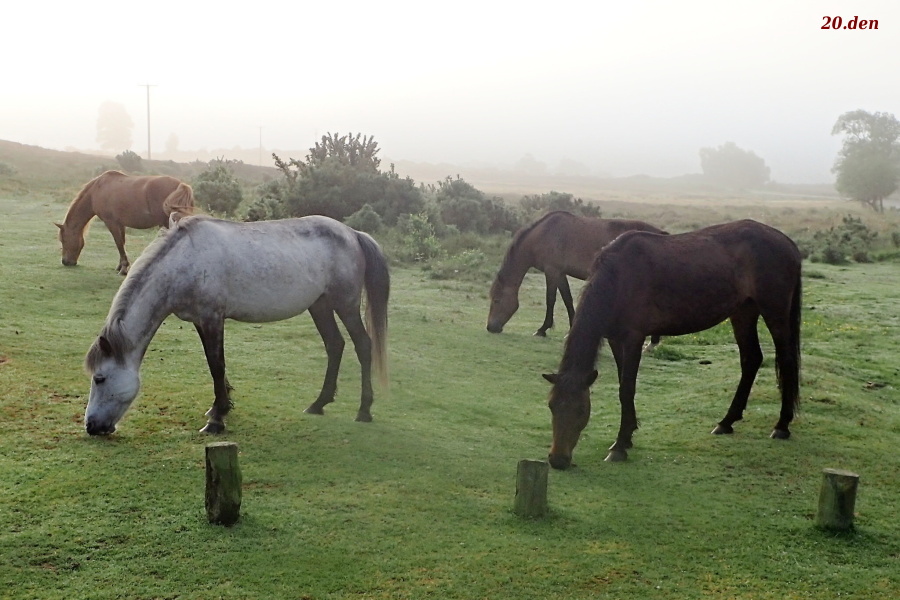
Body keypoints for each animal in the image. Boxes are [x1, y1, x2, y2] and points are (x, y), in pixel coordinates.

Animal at [55, 170, 194, 276]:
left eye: (63, 240)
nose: (65, 262)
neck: (97, 190)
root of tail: (181, 185)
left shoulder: (111, 223)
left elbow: (119, 244)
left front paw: (123, 269)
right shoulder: (120, 224)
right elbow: (122, 243)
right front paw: (121, 266)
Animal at [84, 216, 390, 436]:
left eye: (100, 378)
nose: (91, 426)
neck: (184, 261)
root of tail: (353, 233)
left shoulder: (212, 318)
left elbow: (217, 366)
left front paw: (217, 421)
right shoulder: (201, 321)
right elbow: (214, 366)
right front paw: (219, 408)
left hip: (345, 304)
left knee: (363, 345)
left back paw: (364, 411)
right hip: (321, 305)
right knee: (335, 345)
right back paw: (318, 404)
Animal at [486, 211, 668, 336]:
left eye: (496, 300)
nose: (490, 327)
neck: (543, 234)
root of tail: (662, 234)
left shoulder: (552, 271)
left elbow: (550, 299)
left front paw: (542, 329)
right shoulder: (560, 273)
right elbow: (567, 299)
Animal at [540, 220, 800, 468]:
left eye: (581, 410)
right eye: (551, 406)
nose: (558, 460)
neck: (619, 276)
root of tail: (787, 242)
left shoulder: (634, 338)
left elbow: (627, 389)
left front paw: (620, 446)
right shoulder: (615, 338)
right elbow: (623, 383)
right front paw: (629, 434)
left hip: (774, 312)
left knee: (786, 360)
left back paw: (782, 425)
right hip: (744, 312)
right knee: (751, 359)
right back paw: (726, 422)